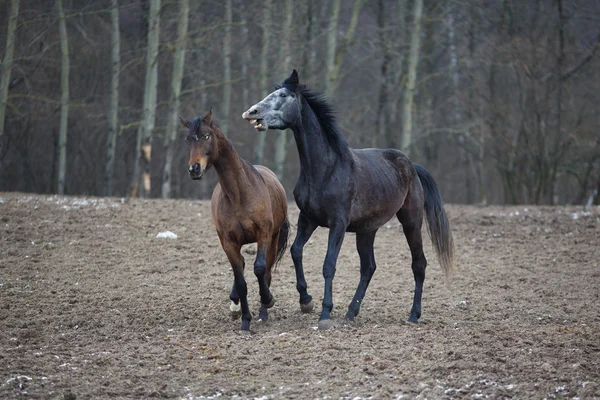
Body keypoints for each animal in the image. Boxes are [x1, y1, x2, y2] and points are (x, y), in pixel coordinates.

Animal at [180, 108, 288, 332]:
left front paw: (267, 300)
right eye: (188, 139)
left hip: (273, 239)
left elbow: (260, 269)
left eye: (206, 136)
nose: (194, 169)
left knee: (266, 271)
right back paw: (236, 306)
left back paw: (264, 311)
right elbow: (240, 281)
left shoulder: (264, 235)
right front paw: (244, 320)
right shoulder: (229, 243)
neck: (239, 194)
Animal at [241, 70, 452, 330]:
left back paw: (413, 315)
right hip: (367, 230)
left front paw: (325, 313)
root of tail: (411, 166)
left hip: (411, 221)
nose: (252, 112)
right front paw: (306, 300)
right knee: (368, 267)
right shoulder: (307, 219)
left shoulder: (338, 224)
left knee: (418, 264)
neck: (326, 169)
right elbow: (296, 251)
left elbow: (329, 265)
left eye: (283, 95)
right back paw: (352, 312)